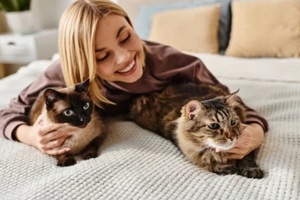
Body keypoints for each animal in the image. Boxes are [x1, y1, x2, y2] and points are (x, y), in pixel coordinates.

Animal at [130, 82, 264, 179]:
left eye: (232, 122)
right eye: (214, 126)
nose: (232, 137)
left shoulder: (248, 141)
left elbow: (247, 157)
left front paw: (251, 170)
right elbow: (207, 161)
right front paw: (224, 168)